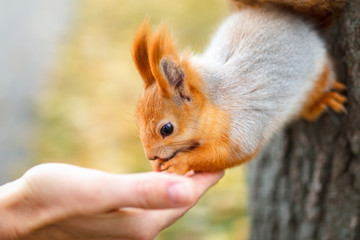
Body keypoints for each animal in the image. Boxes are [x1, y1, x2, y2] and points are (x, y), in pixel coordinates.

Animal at [130, 0, 346, 173]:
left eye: (167, 129)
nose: (150, 156)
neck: (216, 101)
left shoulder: (244, 124)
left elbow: (230, 154)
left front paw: (180, 163)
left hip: (319, 78)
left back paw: (324, 100)